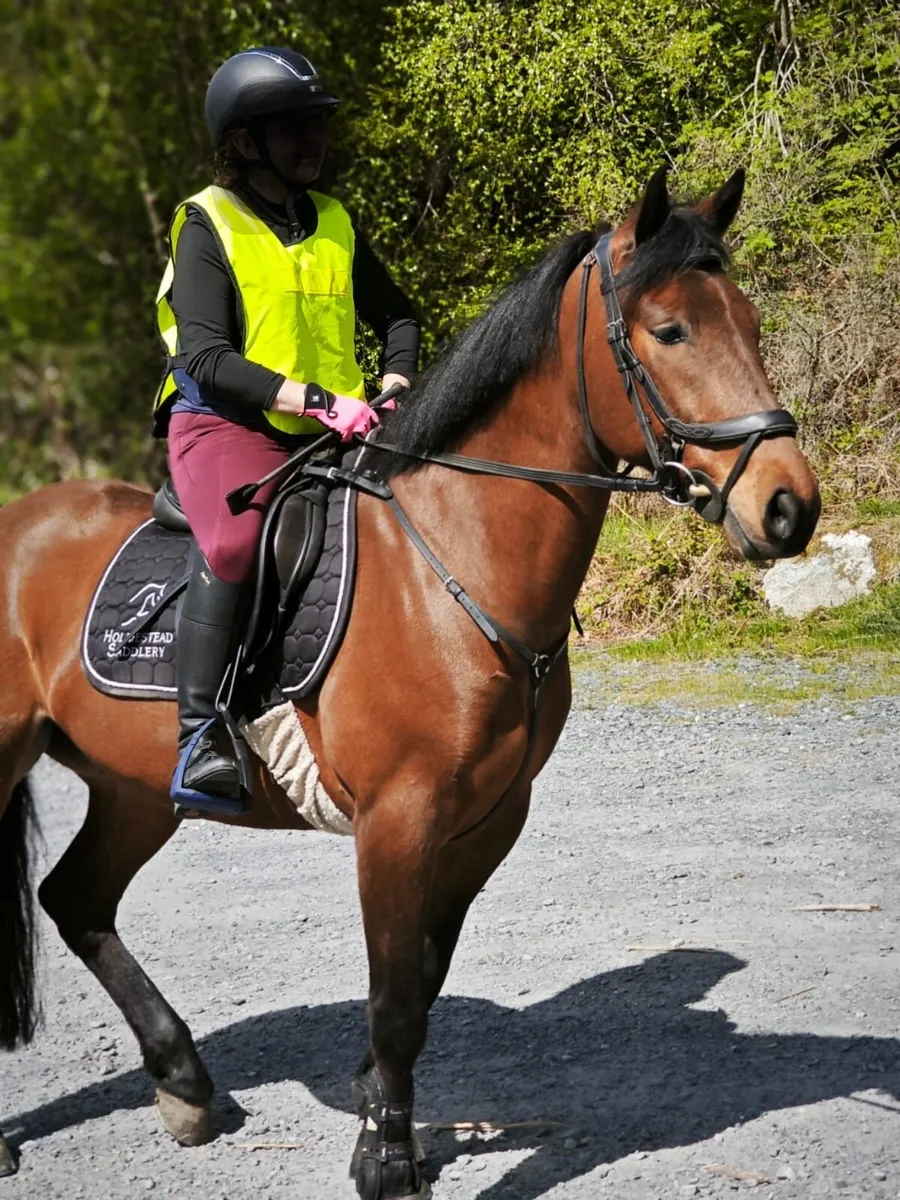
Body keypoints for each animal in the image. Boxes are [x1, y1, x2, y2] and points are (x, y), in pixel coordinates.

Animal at [0, 167, 819, 1198]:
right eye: (670, 331)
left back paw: (184, 1082)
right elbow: (392, 994)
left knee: (76, 901)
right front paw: (388, 1163)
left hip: (135, 788)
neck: (452, 564)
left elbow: (420, 985)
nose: (790, 507)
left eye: (746, 321)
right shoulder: (398, 818)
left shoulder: (487, 818)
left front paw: (372, 1116)